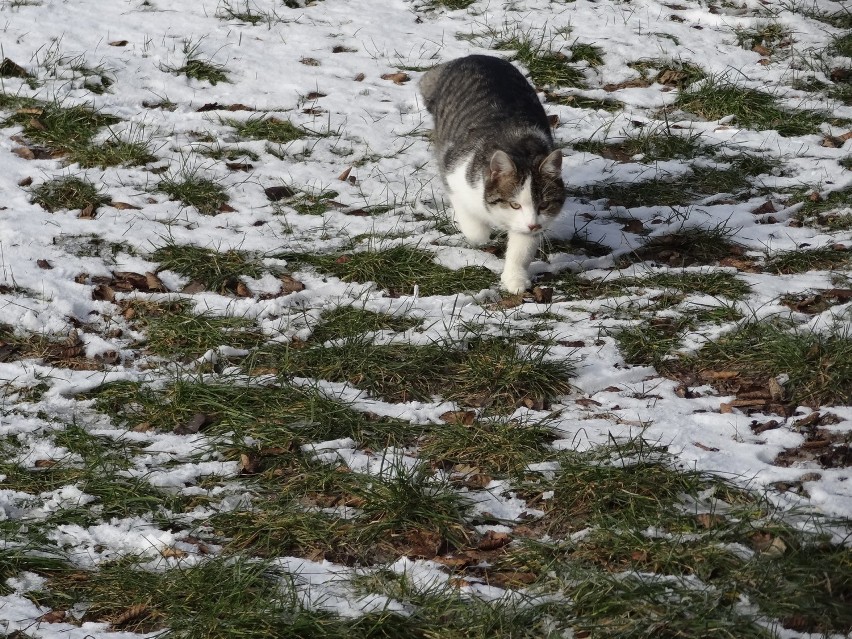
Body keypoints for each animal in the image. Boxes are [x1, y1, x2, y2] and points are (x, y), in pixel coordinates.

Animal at [420, 55, 564, 296]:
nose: (534, 225)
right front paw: (476, 231)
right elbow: (475, 232)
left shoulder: (528, 226)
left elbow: (521, 250)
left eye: (544, 205)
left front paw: (514, 279)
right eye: (514, 204)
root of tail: (471, 57)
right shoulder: (455, 175)